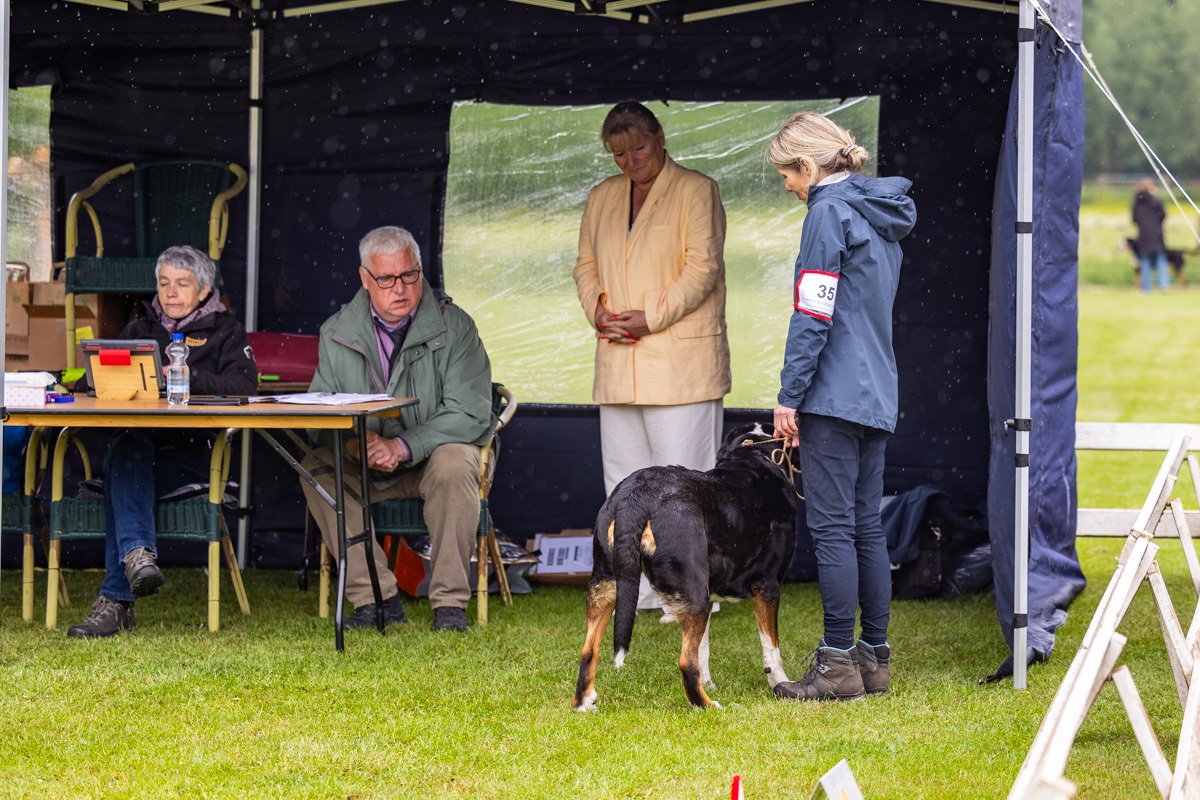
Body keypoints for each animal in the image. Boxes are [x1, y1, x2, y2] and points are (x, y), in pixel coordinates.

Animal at [571, 423, 798, 710]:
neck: (754, 456)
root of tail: (636, 495)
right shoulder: (767, 585)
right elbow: (771, 648)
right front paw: (781, 684)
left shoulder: (709, 591)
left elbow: (703, 650)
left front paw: (709, 682)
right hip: (694, 594)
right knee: (685, 662)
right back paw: (707, 706)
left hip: (609, 586)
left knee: (588, 650)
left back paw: (583, 703)